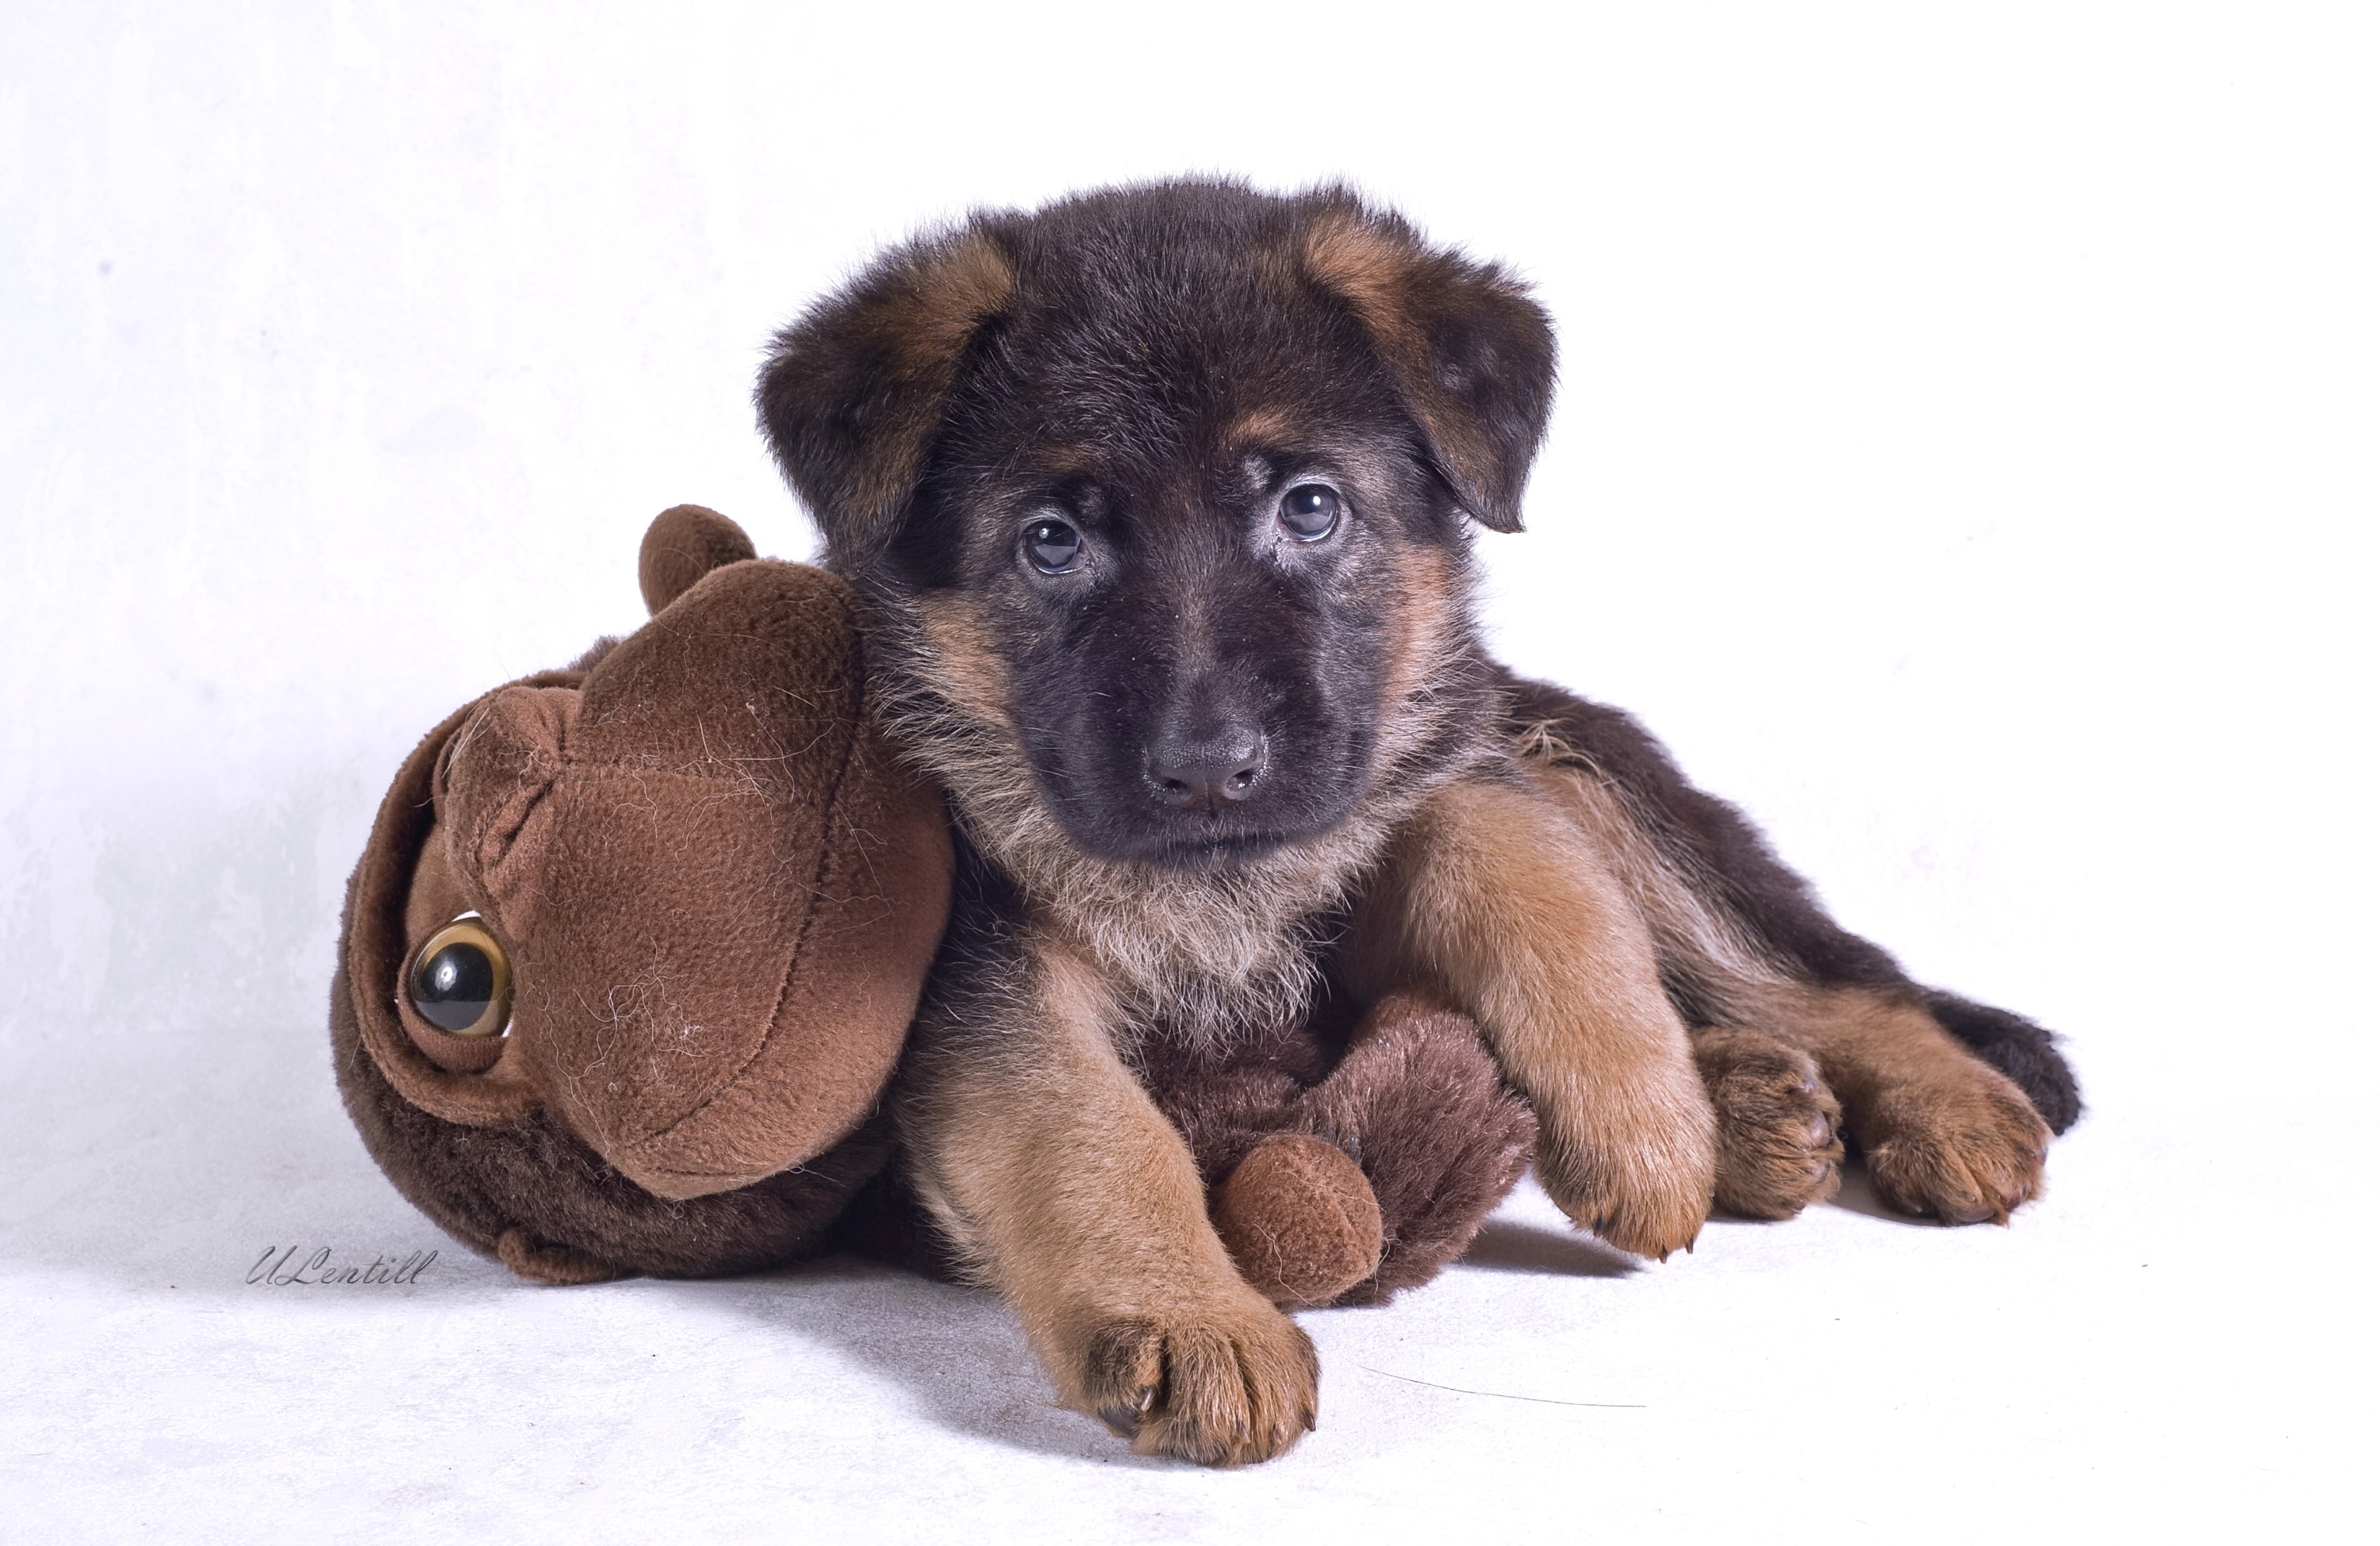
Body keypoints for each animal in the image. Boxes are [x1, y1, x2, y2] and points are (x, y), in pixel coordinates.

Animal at [752, 180, 2075, 1456]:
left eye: (1310, 507)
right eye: (1052, 540)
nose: (1210, 770)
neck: (1220, 889)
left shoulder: (1450, 767)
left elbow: (1515, 862)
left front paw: (1639, 1115)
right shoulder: (984, 971)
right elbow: (1088, 1132)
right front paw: (1192, 1312)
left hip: (1593, 767)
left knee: (1827, 975)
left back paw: (1932, 1103)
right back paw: (1752, 1107)